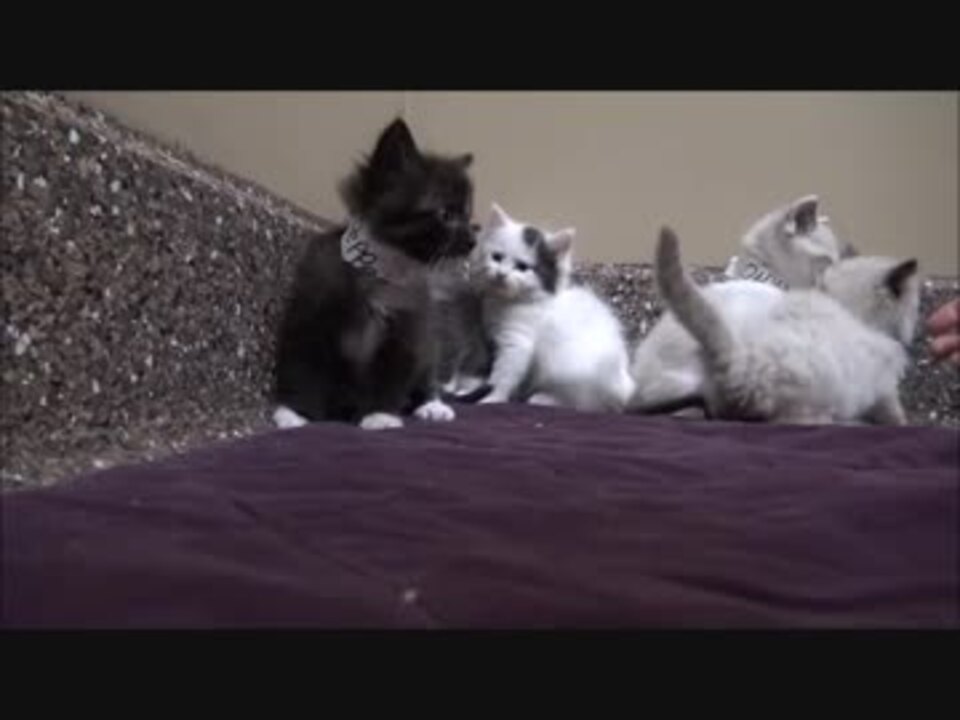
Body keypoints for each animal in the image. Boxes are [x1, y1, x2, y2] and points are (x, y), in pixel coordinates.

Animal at [272, 118, 477, 431]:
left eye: (467, 216)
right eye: (446, 215)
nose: (473, 240)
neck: (380, 270)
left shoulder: (408, 330)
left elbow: (391, 374)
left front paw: (379, 416)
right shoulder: (311, 317)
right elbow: (305, 367)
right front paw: (297, 413)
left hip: (428, 344)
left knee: (426, 372)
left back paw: (432, 404)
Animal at [475, 203, 635, 412]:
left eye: (522, 267)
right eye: (496, 257)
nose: (501, 274)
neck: (512, 301)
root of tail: (623, 383)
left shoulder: (518, 343)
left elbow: (504, 374)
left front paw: (492, 398)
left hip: (567, 367)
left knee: (585, 404)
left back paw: (544, 399)